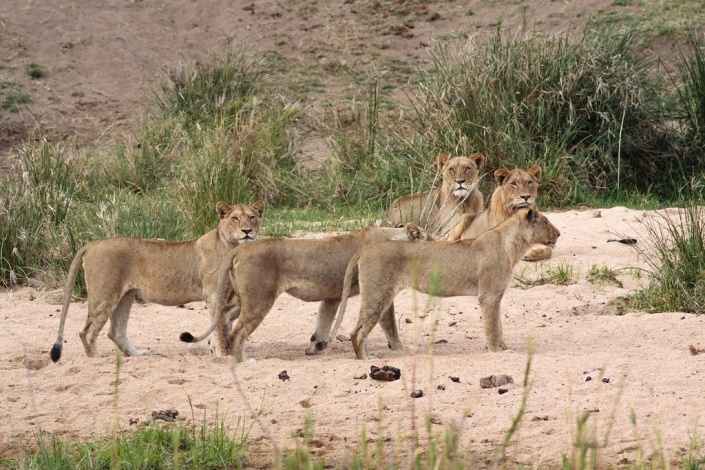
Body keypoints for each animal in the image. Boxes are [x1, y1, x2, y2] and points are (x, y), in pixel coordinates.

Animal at [49, 200, 264, 362]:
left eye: (252, 217)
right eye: (235, 218)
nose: (247, 231)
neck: (231, 246)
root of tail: (92, 244)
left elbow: (217, 327)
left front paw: (216, 352)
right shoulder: (213, 294)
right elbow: (219, 329)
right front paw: (223, 357)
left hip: (125, 296)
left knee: (115, 331)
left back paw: (139, 354)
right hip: (104, 296)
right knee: (87, 333)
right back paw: (96, 360)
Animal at [179, 225, 432, 363]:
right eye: (430, 238)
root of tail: (240, 248)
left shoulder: (332, 296)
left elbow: (322, 324)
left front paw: (315, 348)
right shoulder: (381, 288)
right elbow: (389, 324)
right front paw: (400, 349)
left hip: (245, 299)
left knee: (222, 317)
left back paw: (222, 352)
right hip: (260, 299)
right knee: (238, 331)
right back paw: (244, 360)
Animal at [330, 208, 560, 360]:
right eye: (547, 223)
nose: (559, 233)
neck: (514, 247)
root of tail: (365, 249)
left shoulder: (495, 296)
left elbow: (499, 325)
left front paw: (503, 347)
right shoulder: (488, 296)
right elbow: (493, 326)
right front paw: (497, 351)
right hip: (377, 294)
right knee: (356, 332)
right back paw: (365, 361)